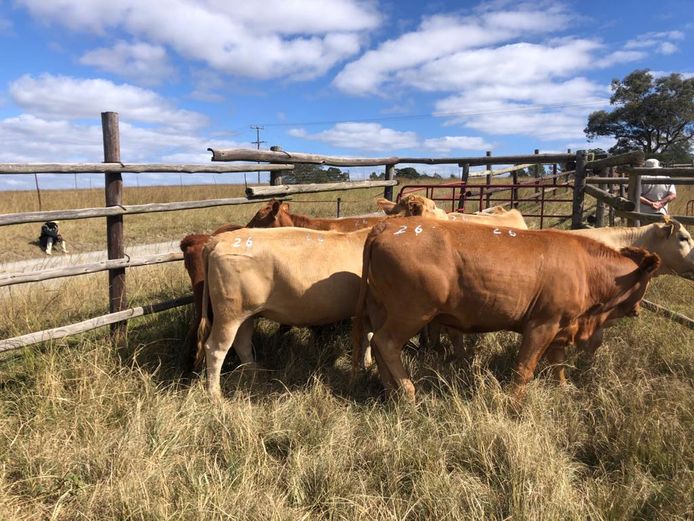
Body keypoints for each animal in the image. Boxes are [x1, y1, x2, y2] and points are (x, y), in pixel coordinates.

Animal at [356, 217, 660, 400]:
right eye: (648, 281)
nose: (638, 310)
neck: (587, 269)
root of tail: (388, 226)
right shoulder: (542, 324)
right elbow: (524, 368)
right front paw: (514, 404)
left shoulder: (560, 325)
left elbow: (558, 362)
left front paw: (563, 388)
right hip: (412, 313)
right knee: (386, 343)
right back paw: (408, 392)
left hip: (383, 309)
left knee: (379, 346)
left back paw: (390, 391)